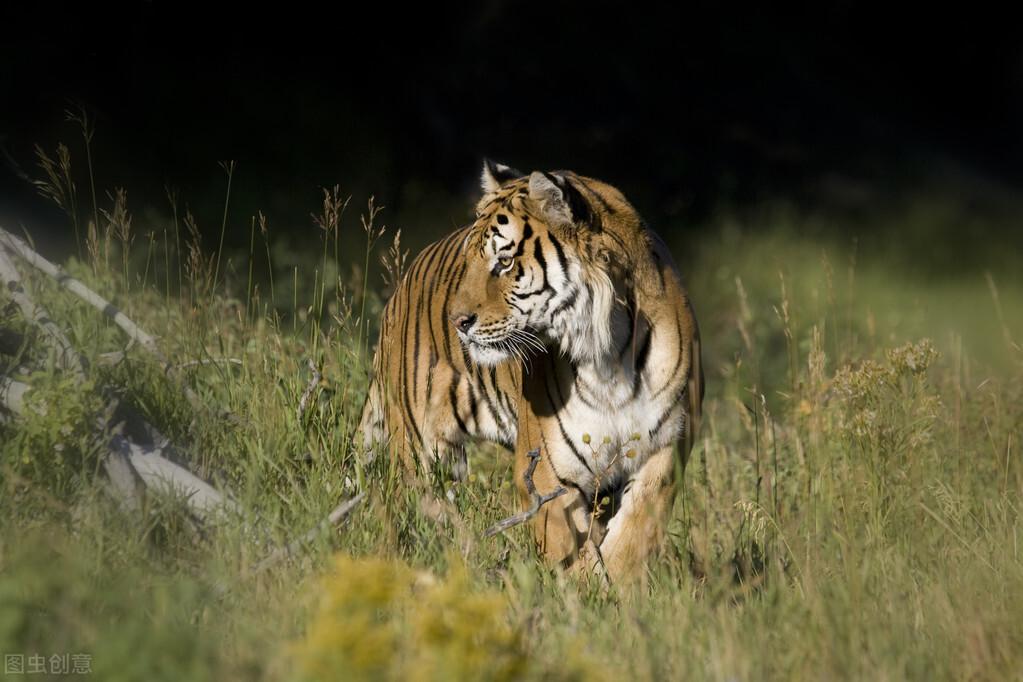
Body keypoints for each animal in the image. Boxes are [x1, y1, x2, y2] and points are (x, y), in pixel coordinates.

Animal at [360, 160, 703, 580]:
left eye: (504, 262)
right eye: (472, 260)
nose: (458, 321)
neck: (609, 356)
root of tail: (399, 290)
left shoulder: (666, 449)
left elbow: (634, 535)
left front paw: (615, 585)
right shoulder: (546, 471)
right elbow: (567, 546)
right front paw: (579, 586)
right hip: (421, 450)